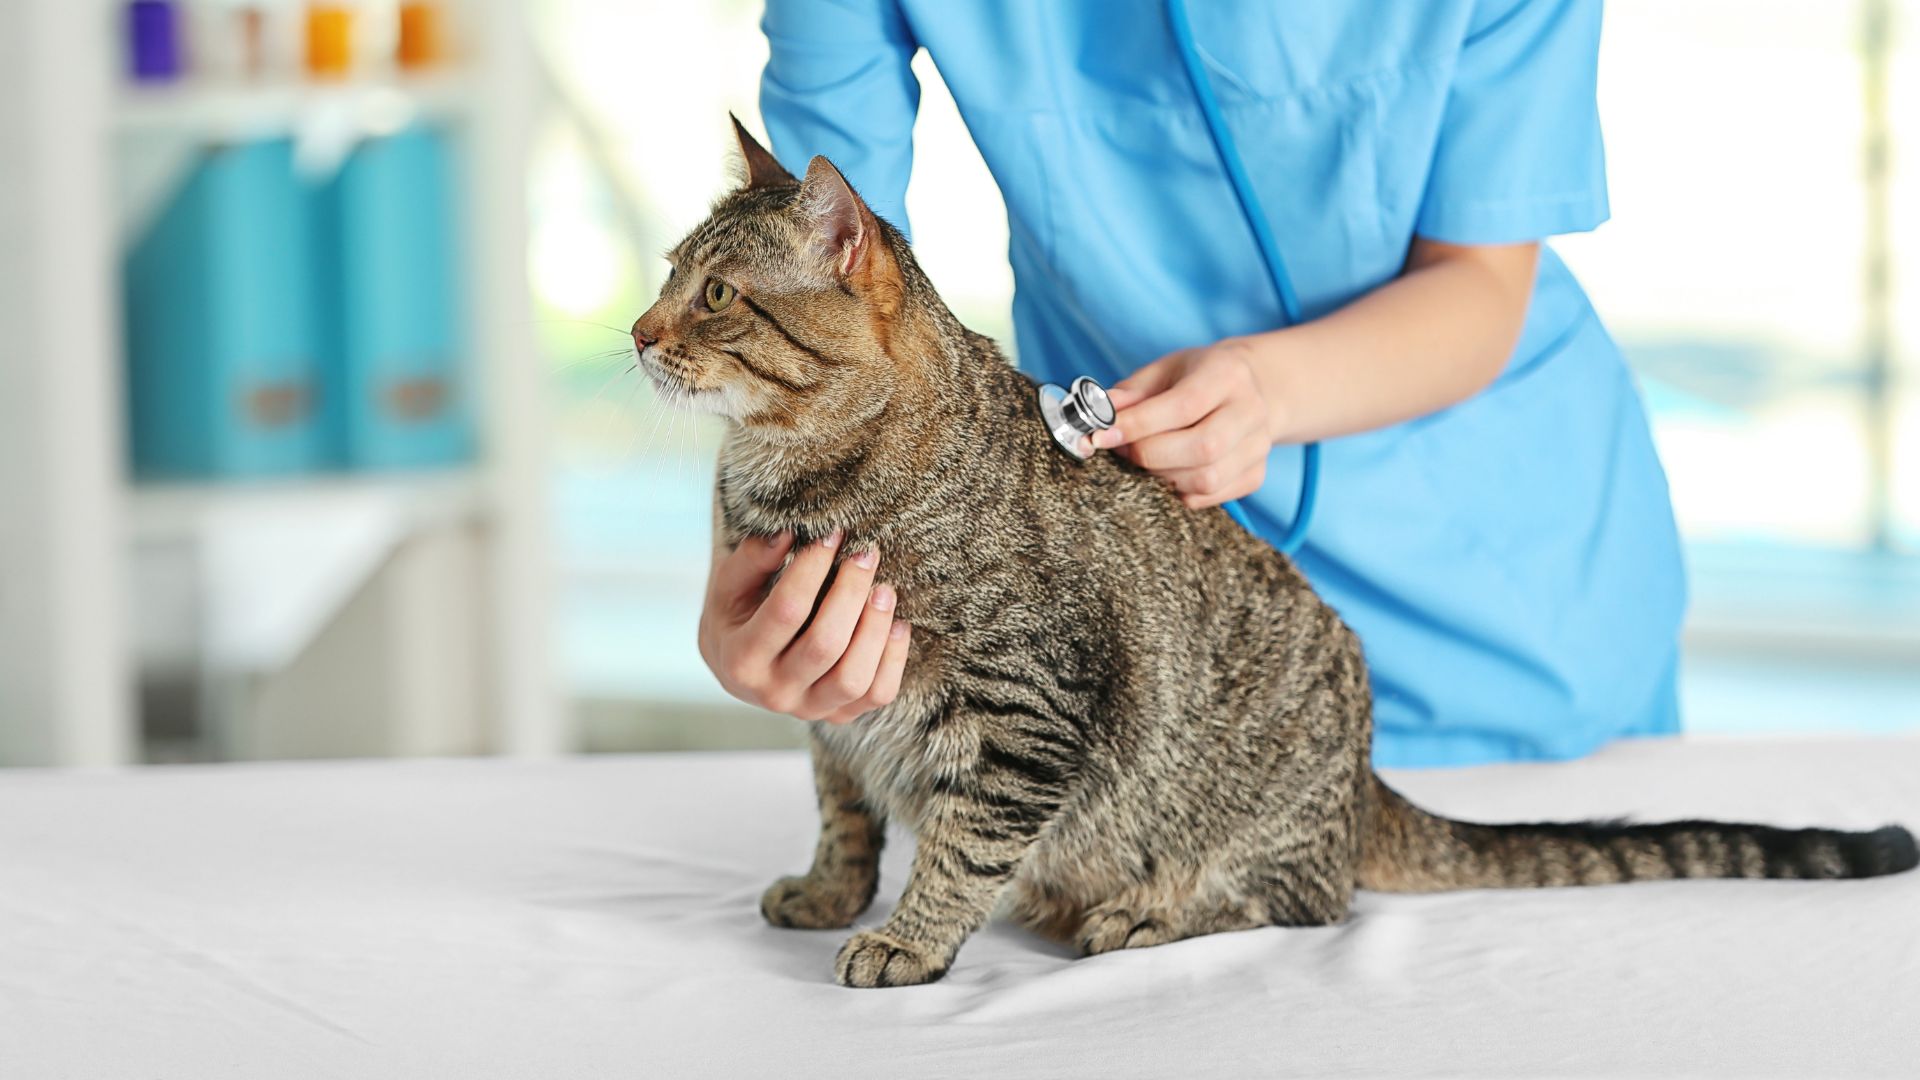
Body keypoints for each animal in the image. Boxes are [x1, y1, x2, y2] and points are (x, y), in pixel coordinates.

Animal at [625, 117, 1904, 983]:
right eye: (667, 273)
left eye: (719, 294)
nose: (636, 333)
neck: (783, 481)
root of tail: (1366, 781)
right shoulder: (835, 708)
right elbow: (845, 809)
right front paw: (833, 894)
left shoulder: (1024, 709)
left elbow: (962, 843)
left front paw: (909, 940)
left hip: (1254, 826)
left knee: (1306, 901)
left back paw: (1143, 912)